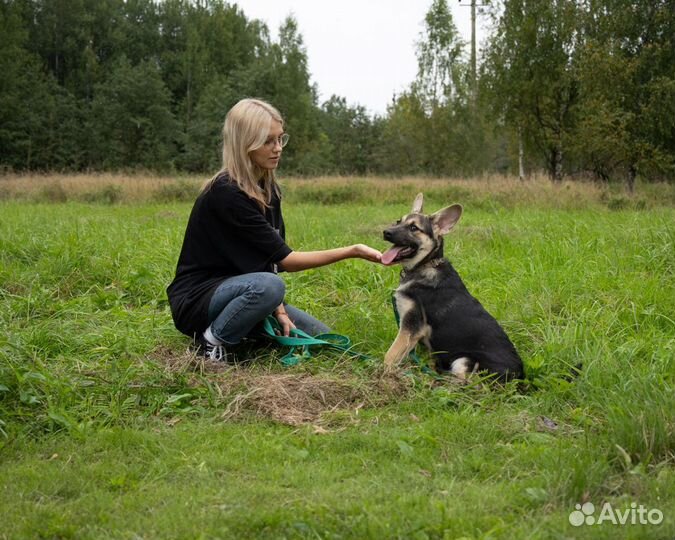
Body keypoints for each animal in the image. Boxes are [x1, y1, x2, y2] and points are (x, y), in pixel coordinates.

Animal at [382, 194, 524, 380]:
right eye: (398, 221)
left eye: (414, 228)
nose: (386, 232)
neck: (425, 265)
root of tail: (521, 376)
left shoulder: (411, 326)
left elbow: (390, 355)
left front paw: (382, 372)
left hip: (464, 360)